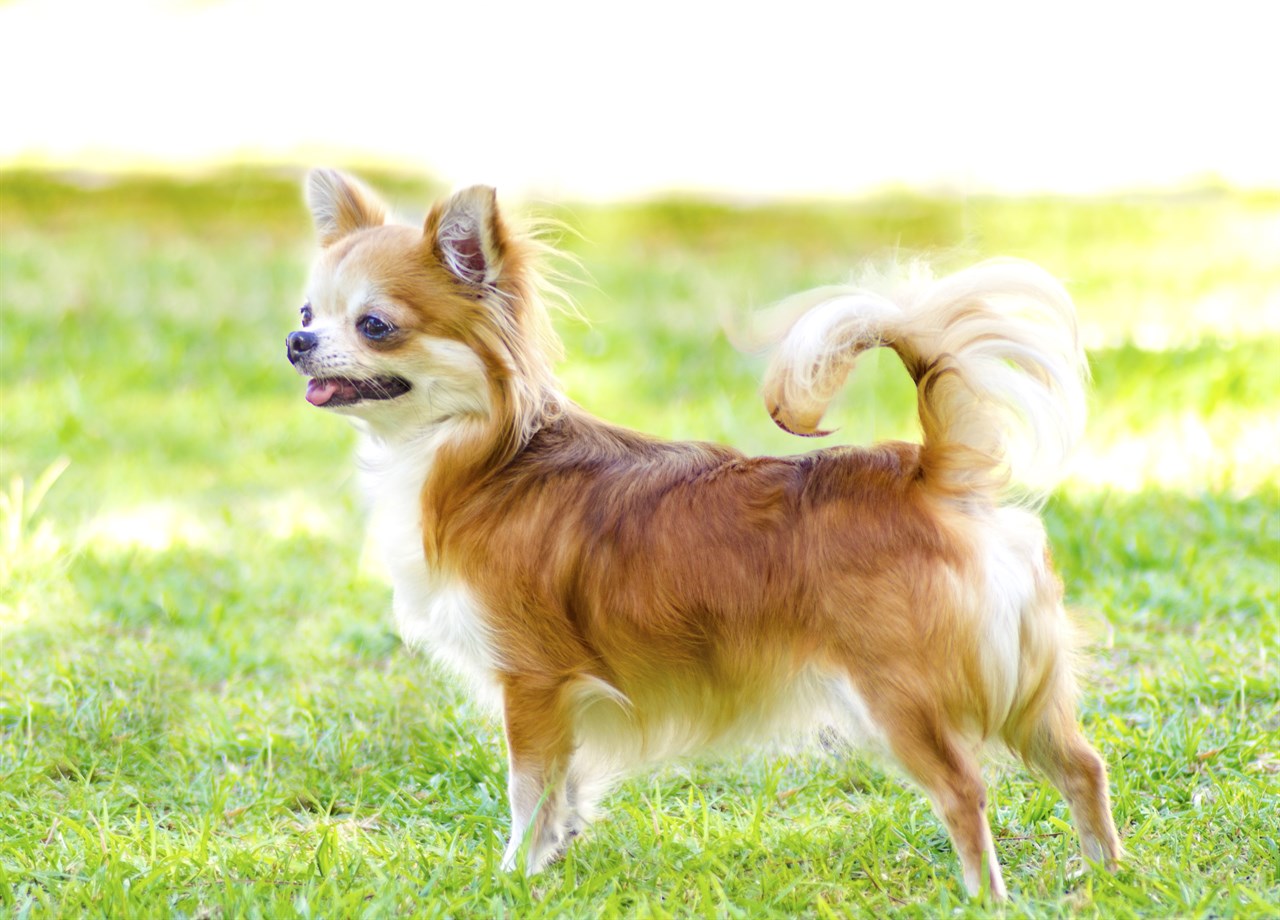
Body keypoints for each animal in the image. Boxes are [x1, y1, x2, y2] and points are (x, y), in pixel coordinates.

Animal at [288, 171, 1121, 900]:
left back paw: (988, 898)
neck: (482, 454)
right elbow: (563, 796)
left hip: (903, 701)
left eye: (375, 326)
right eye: (305, 313)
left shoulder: (534, 685)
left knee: (964, 792)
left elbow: (529, 793)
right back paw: (1107, 875)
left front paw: (511, 878)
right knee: (1084, 766)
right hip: (1028, 695)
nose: (297, 345)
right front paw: (550, 862)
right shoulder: (563, 704)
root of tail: (927, 472)